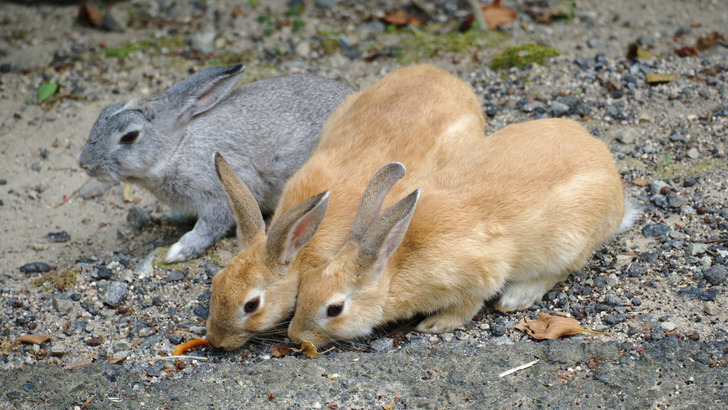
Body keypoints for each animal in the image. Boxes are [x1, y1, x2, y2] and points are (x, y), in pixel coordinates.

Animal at [76, 64, 356, 262]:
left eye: (130, 136)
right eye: (103, 113)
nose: (84, 163)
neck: (176, 149)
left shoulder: (220, 193)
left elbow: (209, 227)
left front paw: (178, 251)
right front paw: (167, 217)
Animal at [288, 118, 637, 348]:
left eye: (334, 309)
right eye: (307, 283)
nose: (294, 336)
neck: (395, 265)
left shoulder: (477, 276)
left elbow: (467, 307)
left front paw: (434, 325)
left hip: (568, 241)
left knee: (559, 271)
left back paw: (515, 298)